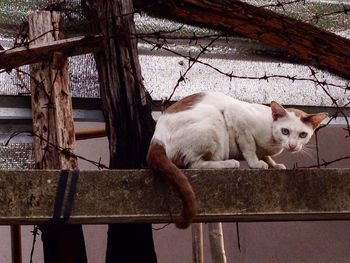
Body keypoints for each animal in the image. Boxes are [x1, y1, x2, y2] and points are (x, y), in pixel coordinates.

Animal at [147, 92, 328, 228]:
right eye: (285, 131)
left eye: (302, 135)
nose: (292, 145)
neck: (273, 143)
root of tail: (156, 138)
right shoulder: (239, 120)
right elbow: (250, 149)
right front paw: (256, 164)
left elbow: (266, 156)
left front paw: (275, 165)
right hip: (215, 121)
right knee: (192, 165)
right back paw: (229, 164)